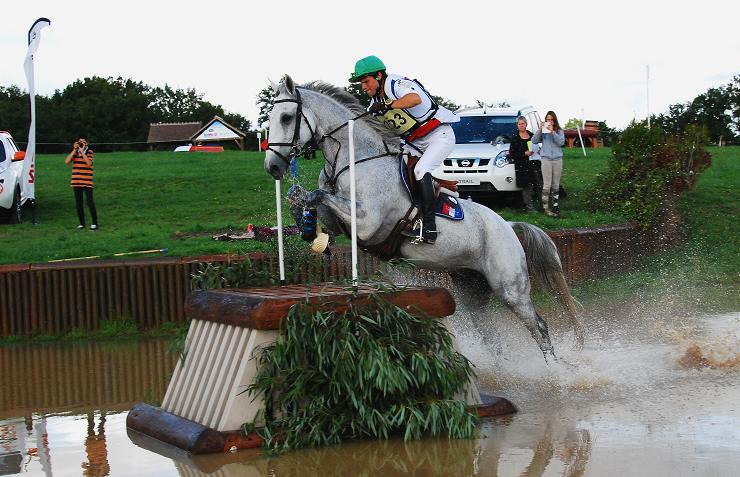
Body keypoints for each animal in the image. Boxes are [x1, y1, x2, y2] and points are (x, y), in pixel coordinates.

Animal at [264, 75, 580, 356]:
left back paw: (554, 372)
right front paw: (307, 227)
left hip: (510, 286)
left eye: (287, 118)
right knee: (490, 333)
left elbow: (317, 195)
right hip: (472, 287)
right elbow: (306, 197)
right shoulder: (340, 222)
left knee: (539, 327)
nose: (272, 168)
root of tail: (508, 226)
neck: (354, 159)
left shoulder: (367, 223)